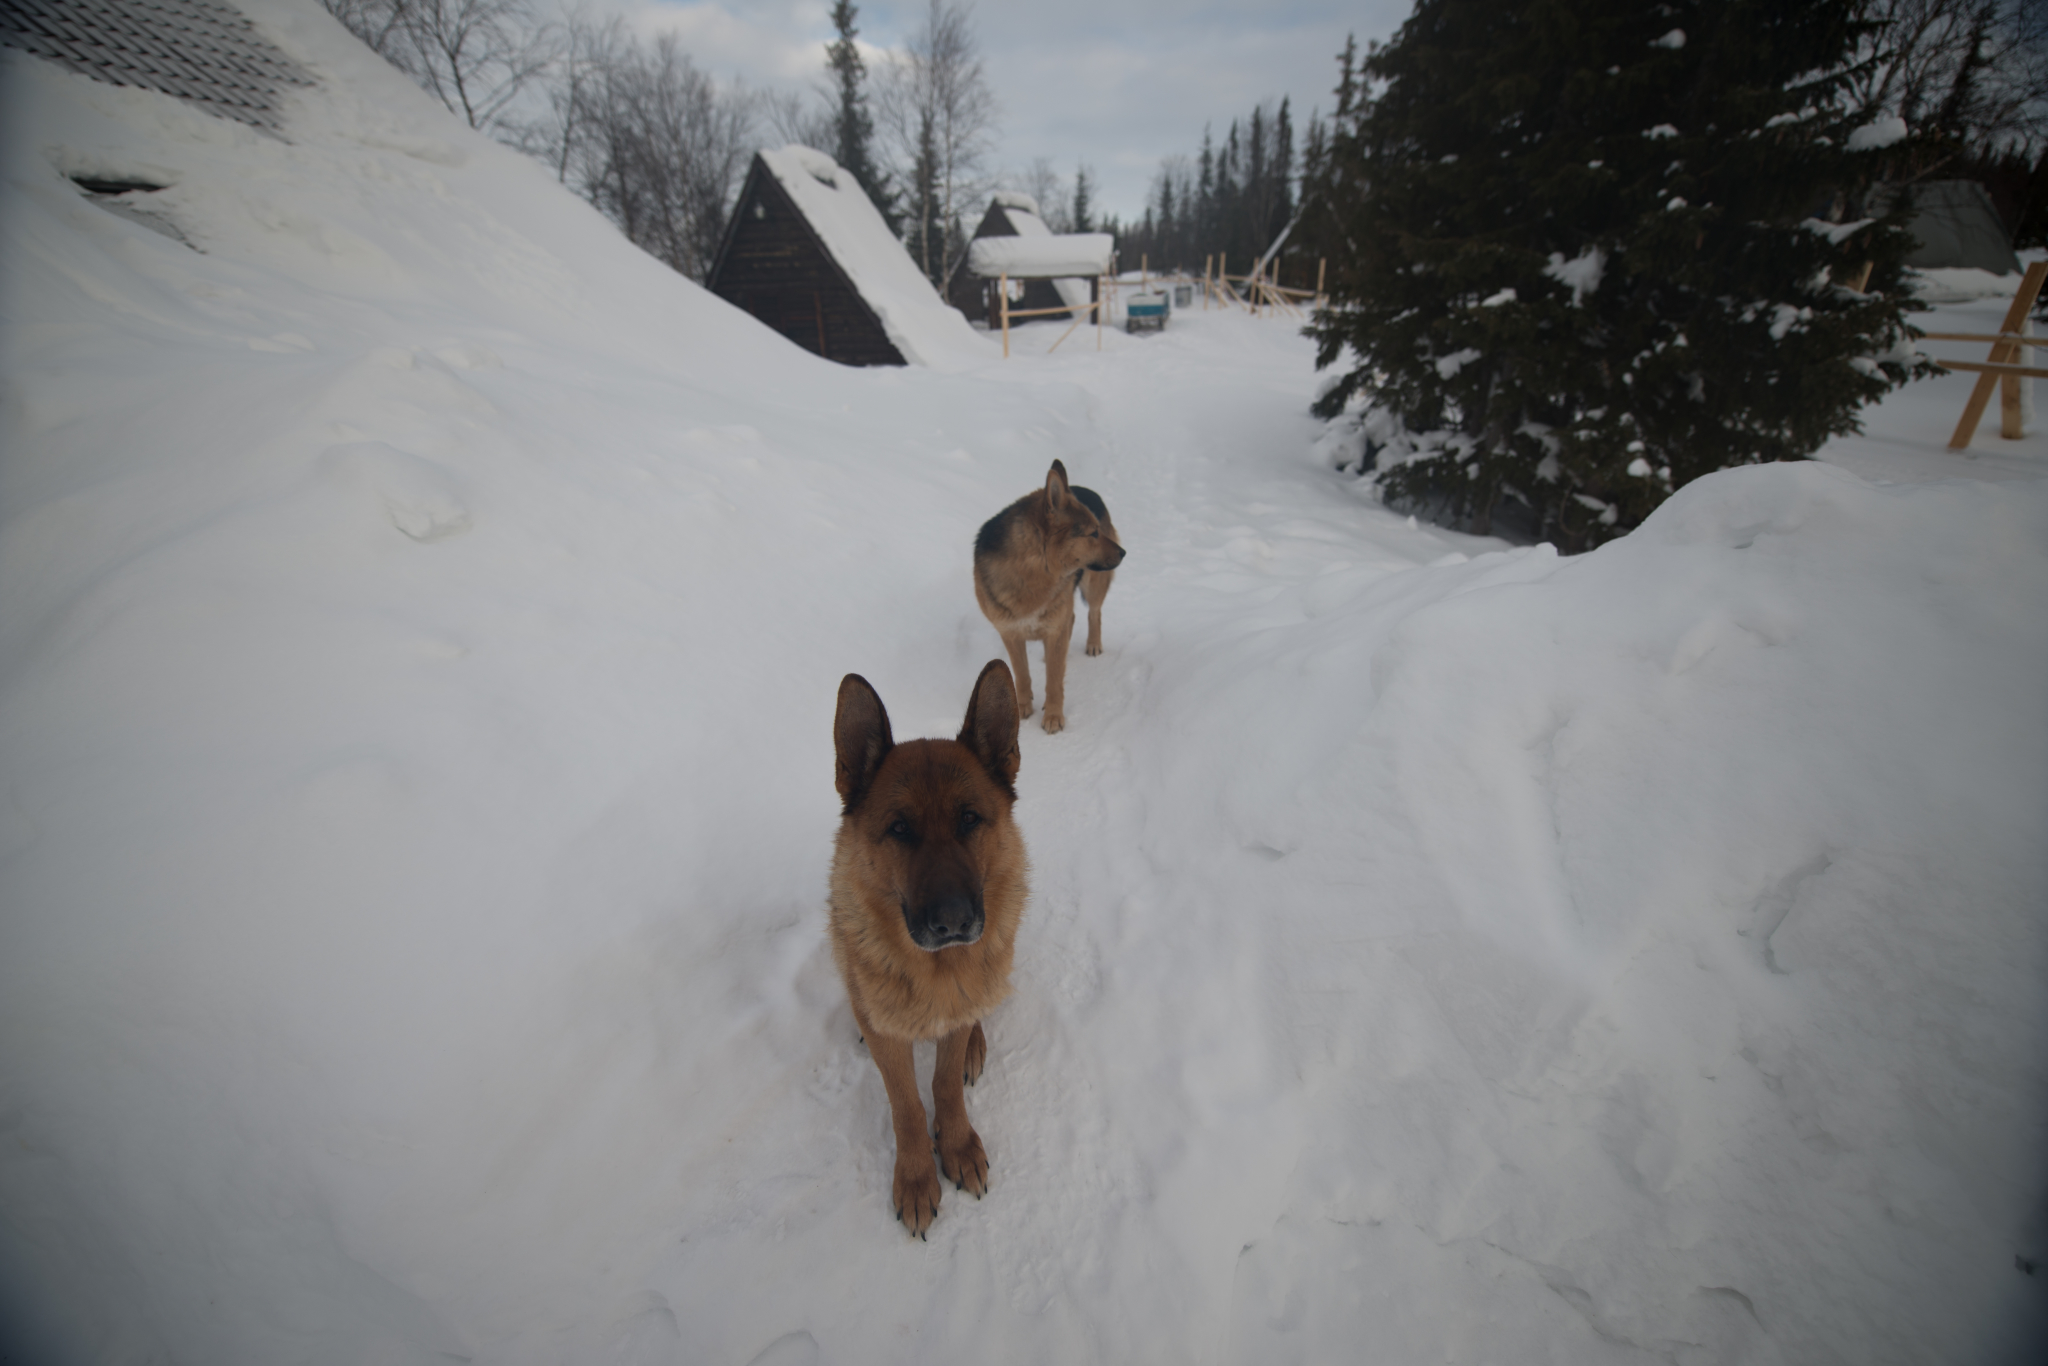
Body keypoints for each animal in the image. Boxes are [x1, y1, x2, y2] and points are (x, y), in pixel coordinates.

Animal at [827, 659, 1024, 1236]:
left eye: (969, 819)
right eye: (899, 829)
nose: (955, 922)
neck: (938, 970)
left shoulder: (955, 1016)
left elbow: (943, 1085)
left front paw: (956, 1144)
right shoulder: (892, 1047)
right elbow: (907, 1104)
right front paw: (916, 1176)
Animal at [970, 458, 1130, 737]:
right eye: (1093, 534)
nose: (1124, 552)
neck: (1031, 571)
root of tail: (1080, 486)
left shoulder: (1055, 626)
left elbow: (1054, 681)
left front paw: (1054, 716)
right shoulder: (1010, 632)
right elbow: (1021, 673)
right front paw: (1022, 707)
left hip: (1092, 585)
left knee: (1093, 613)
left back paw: (1093, 644)